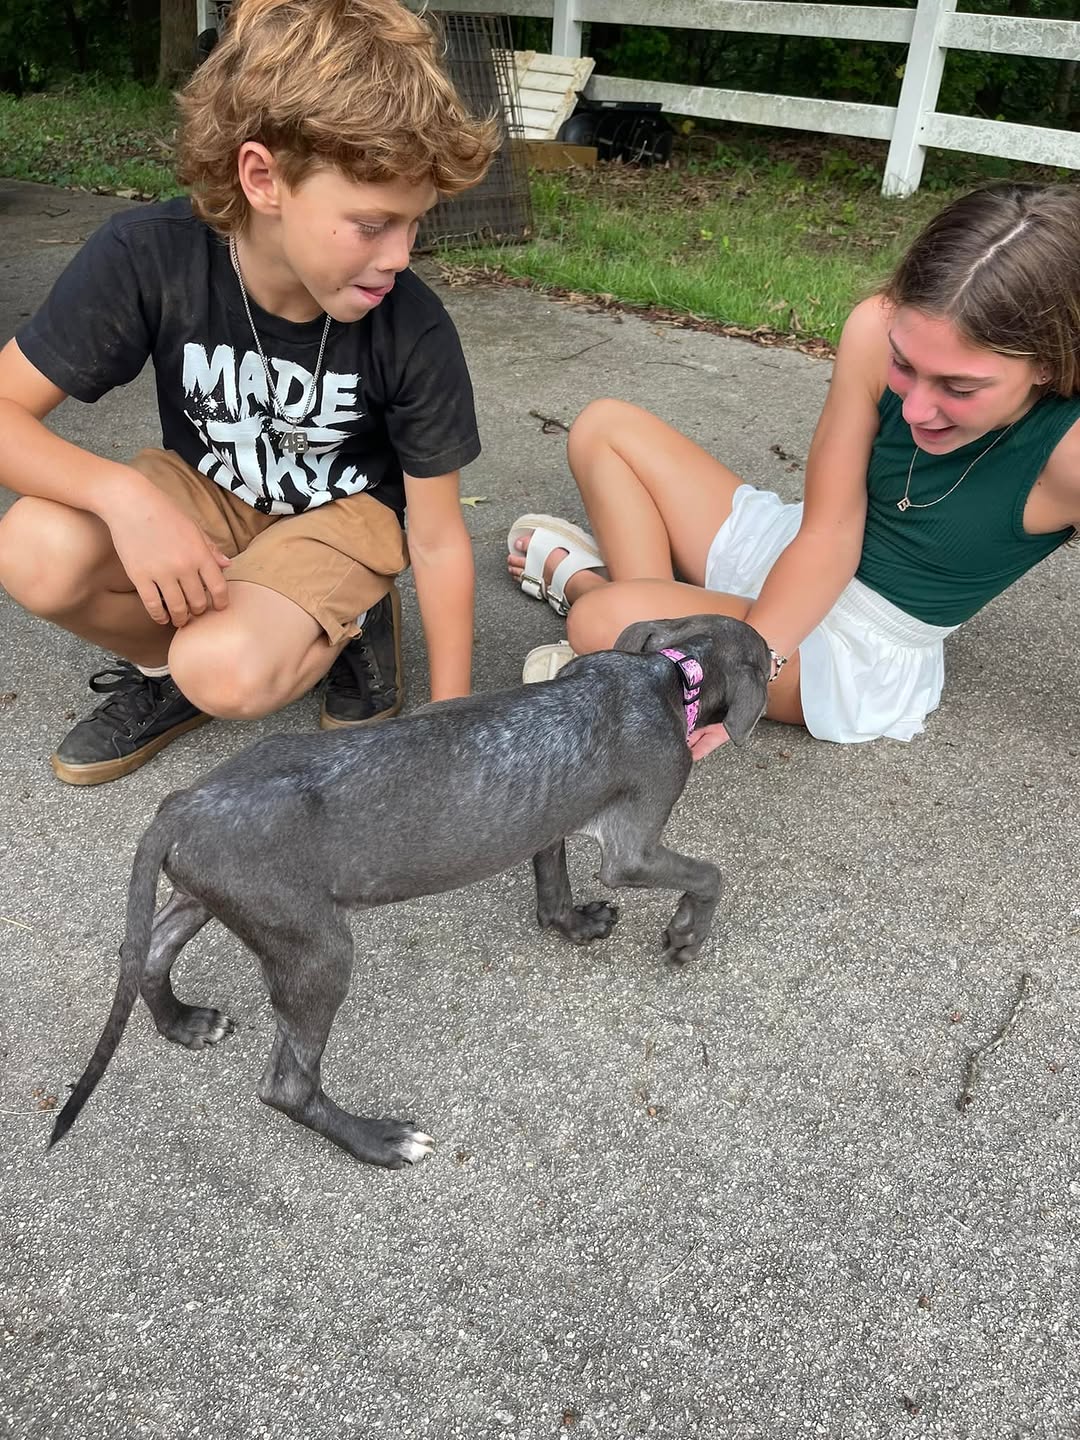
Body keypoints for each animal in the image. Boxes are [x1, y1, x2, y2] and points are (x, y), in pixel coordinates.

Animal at [50, 613, 771, 1163]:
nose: (788, 658)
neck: (670, 670)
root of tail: (179, 807)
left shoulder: (549, 819)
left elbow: (552, 889)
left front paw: (575, 926)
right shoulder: (632, 850)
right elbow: (710, 875)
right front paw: (686, 936)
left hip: (213, 897)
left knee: (146, 950)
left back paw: (182, 1023)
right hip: (315, 949)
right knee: (287, 1085)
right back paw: (376, 1140)